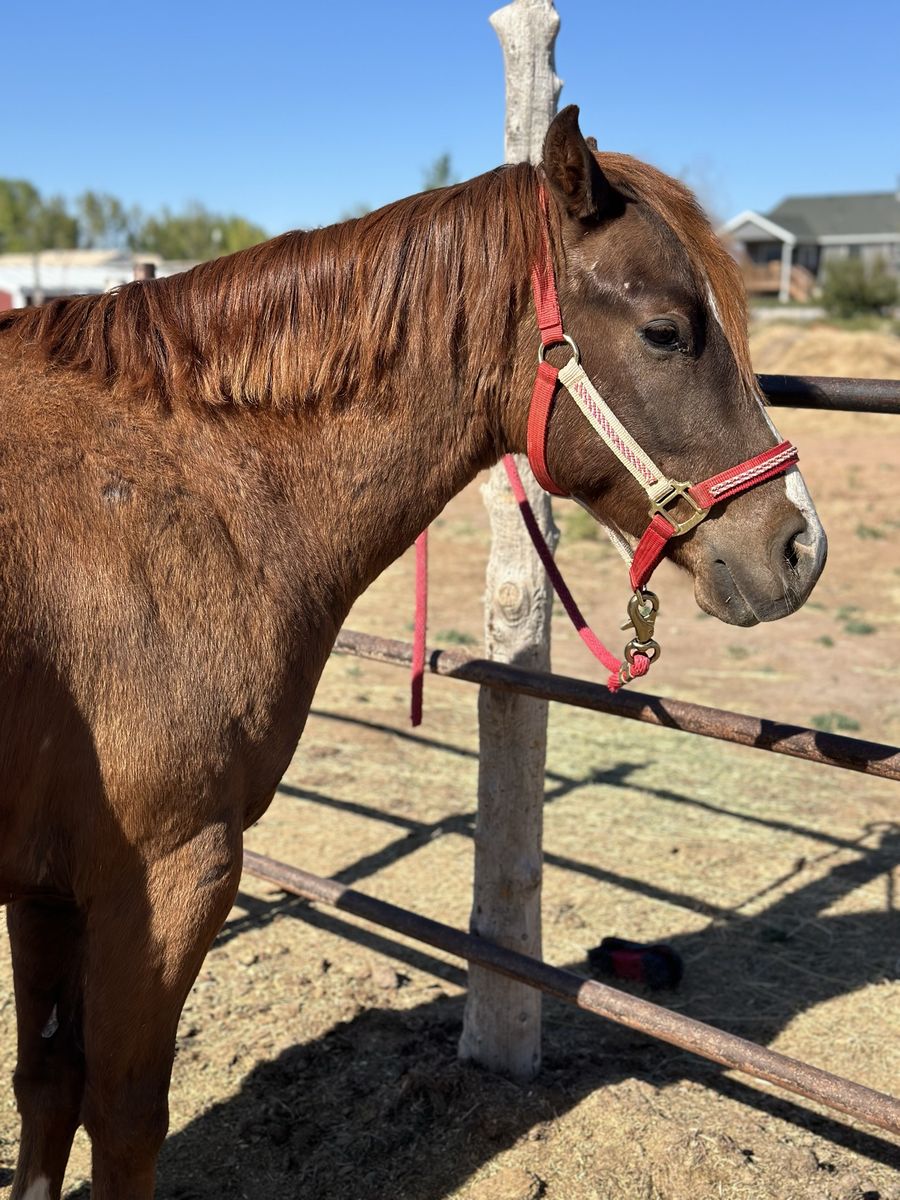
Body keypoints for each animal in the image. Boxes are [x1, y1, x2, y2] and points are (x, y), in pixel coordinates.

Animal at [0, 105, 825, 1198]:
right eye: (665, 331)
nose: (798, 546)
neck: (164, 494)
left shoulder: (48, 885)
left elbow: (47, 1087)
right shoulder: (167, 876)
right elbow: (124, 1116)